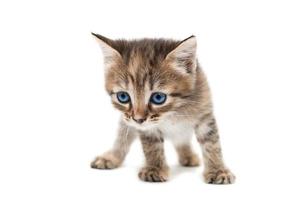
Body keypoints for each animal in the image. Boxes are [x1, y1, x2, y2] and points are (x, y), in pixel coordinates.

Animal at [90, 33, 236, 184]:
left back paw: (188, 156)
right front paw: (155, 168)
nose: (138, 119)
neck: (173, 113)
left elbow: (211, 144)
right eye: (123, 97)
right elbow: (151, 145)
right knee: (122, 137)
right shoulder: (144, 127)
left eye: (158, 97)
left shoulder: (204, 115)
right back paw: (111, 157)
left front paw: (218, 170)